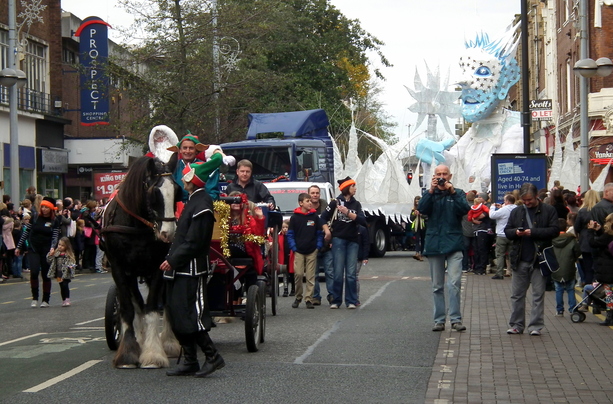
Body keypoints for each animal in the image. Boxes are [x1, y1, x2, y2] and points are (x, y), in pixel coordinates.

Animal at [100, 155, 180, 370]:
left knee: (166, 303)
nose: (168, 233)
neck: (135, 225)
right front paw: (128, 353)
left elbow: (152, 307)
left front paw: (153, 354)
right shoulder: (120, 268)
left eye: (177, 190)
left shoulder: (159, 267)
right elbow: (129, 308)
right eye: (154, 192)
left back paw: (169, 342)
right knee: (136, 303)